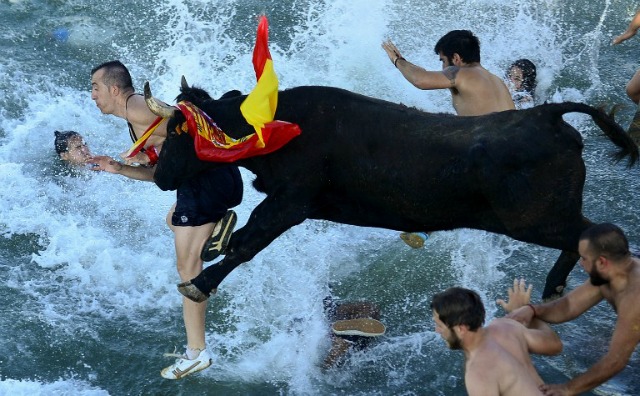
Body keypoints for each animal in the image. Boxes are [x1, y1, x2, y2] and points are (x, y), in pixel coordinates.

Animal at [148, 83, 636, 300]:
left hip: (536, 219)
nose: (159, 178)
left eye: (174, 134)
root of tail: (547, 115)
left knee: (594, 231)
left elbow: (248, 243)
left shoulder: (292, 202)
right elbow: (243, 236)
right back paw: (554, 286)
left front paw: (199, 283)